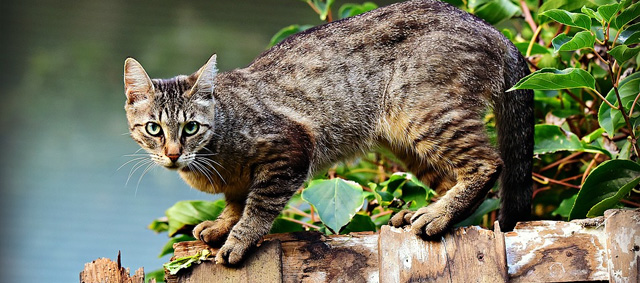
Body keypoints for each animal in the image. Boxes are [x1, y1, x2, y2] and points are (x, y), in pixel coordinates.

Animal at [122, 0, 532, 266]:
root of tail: (493, 30)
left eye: (190, 127)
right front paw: (223, 225)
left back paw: (438, 215)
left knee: (488, 164)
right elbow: (236, 202)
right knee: (449, 176)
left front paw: (239, 238)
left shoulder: (290, 149)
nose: (173, 153)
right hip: (403, 139)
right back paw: (424, 211)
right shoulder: (238, 182)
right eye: (154, 129)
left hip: (423, 113)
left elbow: (258, 205)